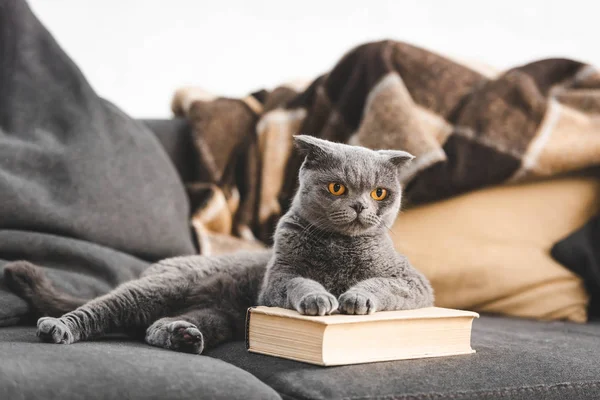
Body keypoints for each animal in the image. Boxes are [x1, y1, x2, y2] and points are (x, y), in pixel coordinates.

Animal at [5, 136, 436, 354]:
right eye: (337, 188)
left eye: (380, 193)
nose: (363, 206)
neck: (337, 248)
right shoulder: (276, 280)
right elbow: (299, 282)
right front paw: (319, 298)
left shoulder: (413, 282)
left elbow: (381, 284)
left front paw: (355, 297)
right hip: (160, 287)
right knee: (102, 307)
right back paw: (57, 328)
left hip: (218, 314)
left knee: (153, 327)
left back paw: (183, 336)